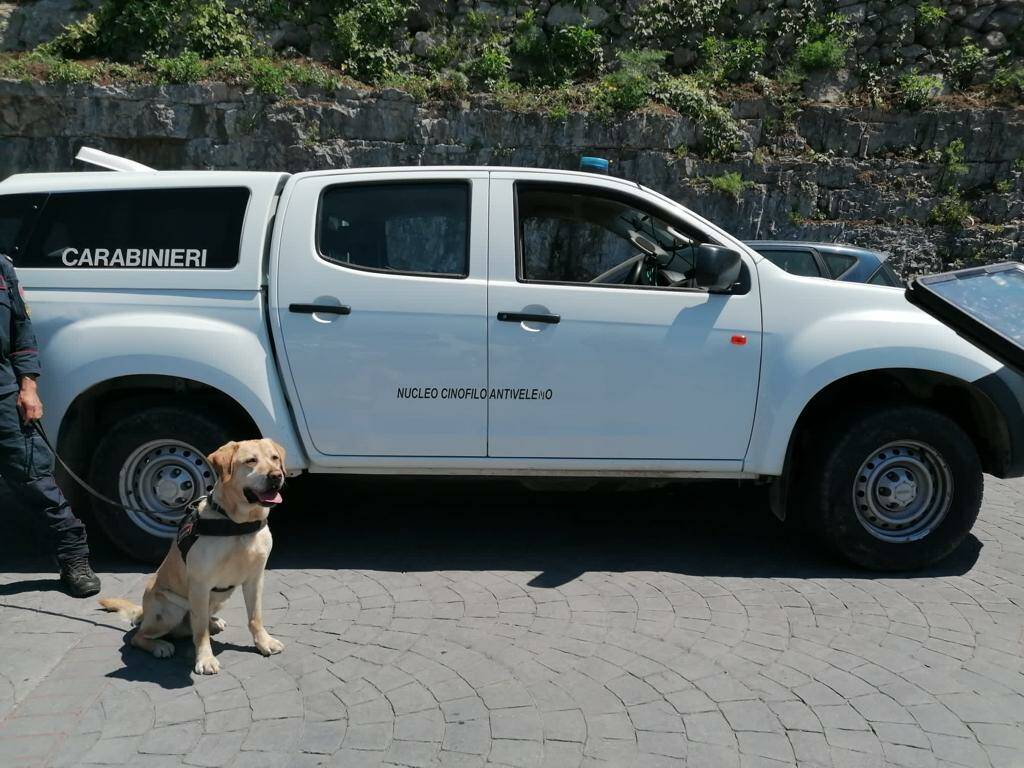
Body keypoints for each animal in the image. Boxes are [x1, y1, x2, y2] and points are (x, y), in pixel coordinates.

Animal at [99, 442, 286, 675]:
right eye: (251, 461)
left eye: (275, 458)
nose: (276, 476)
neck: (238, 524)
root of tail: (144, 613)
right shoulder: (200, 584)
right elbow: (200, 631)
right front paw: (205, 659)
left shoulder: (255, 579)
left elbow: (255, 617)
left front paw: (263, 642)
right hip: (170, 610)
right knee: (140, 636)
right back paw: (160, 646)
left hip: (218, 599)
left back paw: (213, 622)